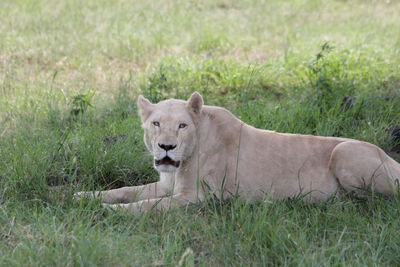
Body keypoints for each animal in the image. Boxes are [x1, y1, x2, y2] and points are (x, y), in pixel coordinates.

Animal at [75, 92, 400, 214]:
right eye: (156, 124)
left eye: (182, 125)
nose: (167, 146)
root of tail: (392, 159)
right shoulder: (167, 184)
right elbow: (125, 191)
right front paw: (82, 197)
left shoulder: (197, 197)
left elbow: (148, 205)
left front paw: (107, 212)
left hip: (345, 151)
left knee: (377, 200)